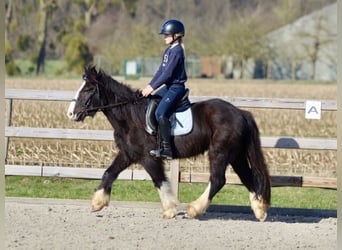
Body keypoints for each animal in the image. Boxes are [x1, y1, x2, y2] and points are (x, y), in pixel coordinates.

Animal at [66, 66, 270, 221]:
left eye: (87, 89)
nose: (71, 113)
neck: (130, 116)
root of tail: (241, 113)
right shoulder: (128, 154)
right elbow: (109, 173)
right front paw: (97, 202)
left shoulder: (148, 158)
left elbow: (159, 180)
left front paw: (170, 209)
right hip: (236, 156)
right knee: (247, 178)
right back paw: (260, 210)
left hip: (220, 153)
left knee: (218, 180)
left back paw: (194, 209)